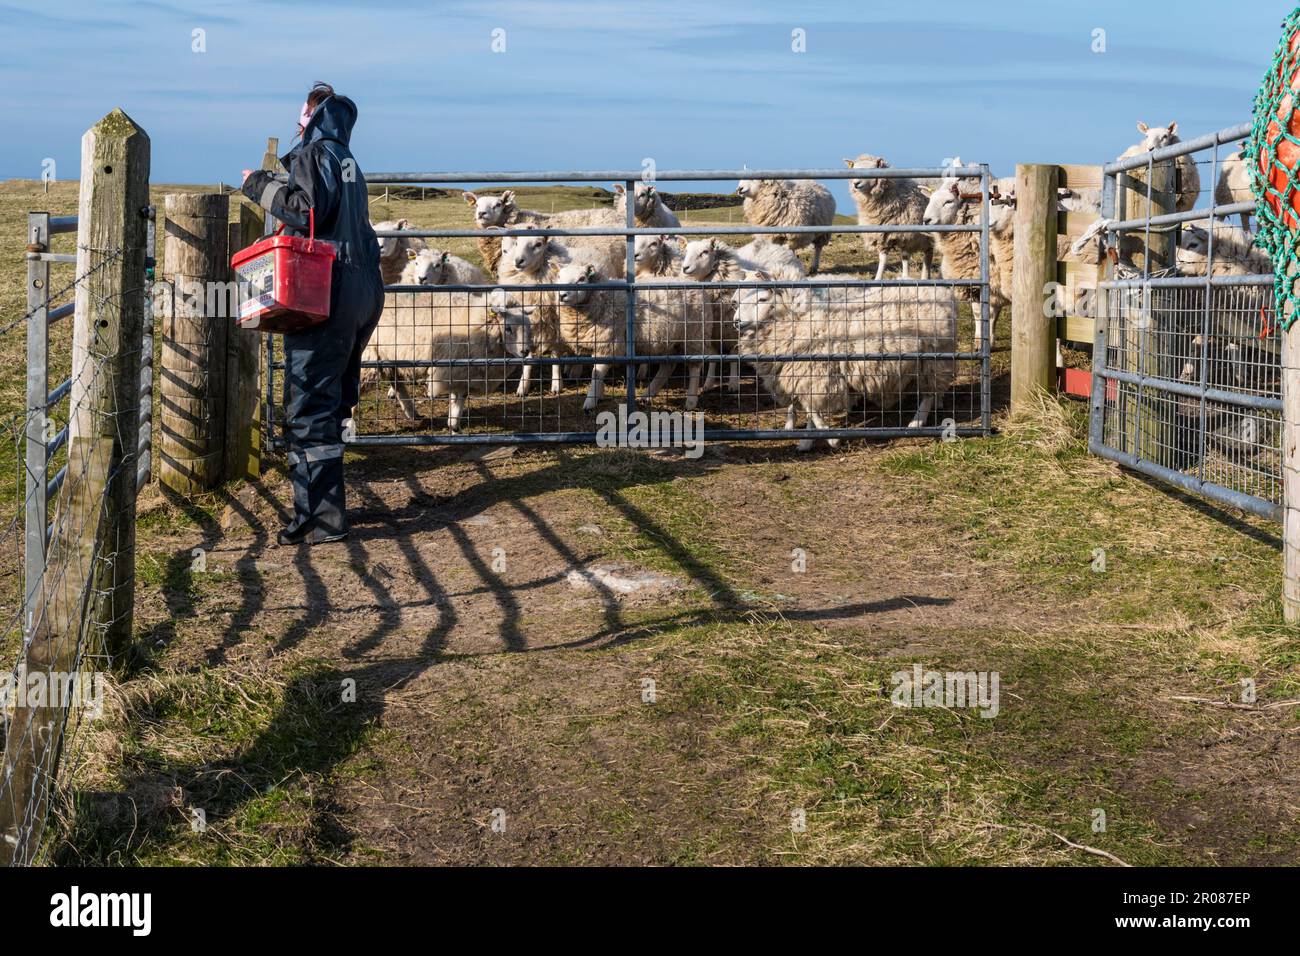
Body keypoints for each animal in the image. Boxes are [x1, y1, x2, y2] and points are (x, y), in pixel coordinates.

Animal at [362, 289, 532, 431]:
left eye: (529, 327)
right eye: (508, 328)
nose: (525, 351)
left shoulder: (463, 373)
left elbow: (460, 397)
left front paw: (453, 424)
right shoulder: (454, 369)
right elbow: (457, 398)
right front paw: (454, 423)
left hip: (387, 357)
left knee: (396, 382)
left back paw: (412, 413)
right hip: (369, 357)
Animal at [731, 272, 959, 450]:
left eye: (762, 299)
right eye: (736, 301)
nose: (736, 322)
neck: (796, 322)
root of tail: (943, 291)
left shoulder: (816, 374)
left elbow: (813, 410)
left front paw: (831, 439)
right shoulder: (806, 377)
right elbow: (809, 409)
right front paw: (807, 441)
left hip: (934, 360)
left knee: (928, 394)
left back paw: (916, 422)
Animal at [922, 177, 1012, 348]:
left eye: (949, 201)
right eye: (930, 200)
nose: (926, 220)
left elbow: (989, 312)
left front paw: (986, 339)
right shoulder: (976, 282)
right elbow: (980, 312)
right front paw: (982, 340)